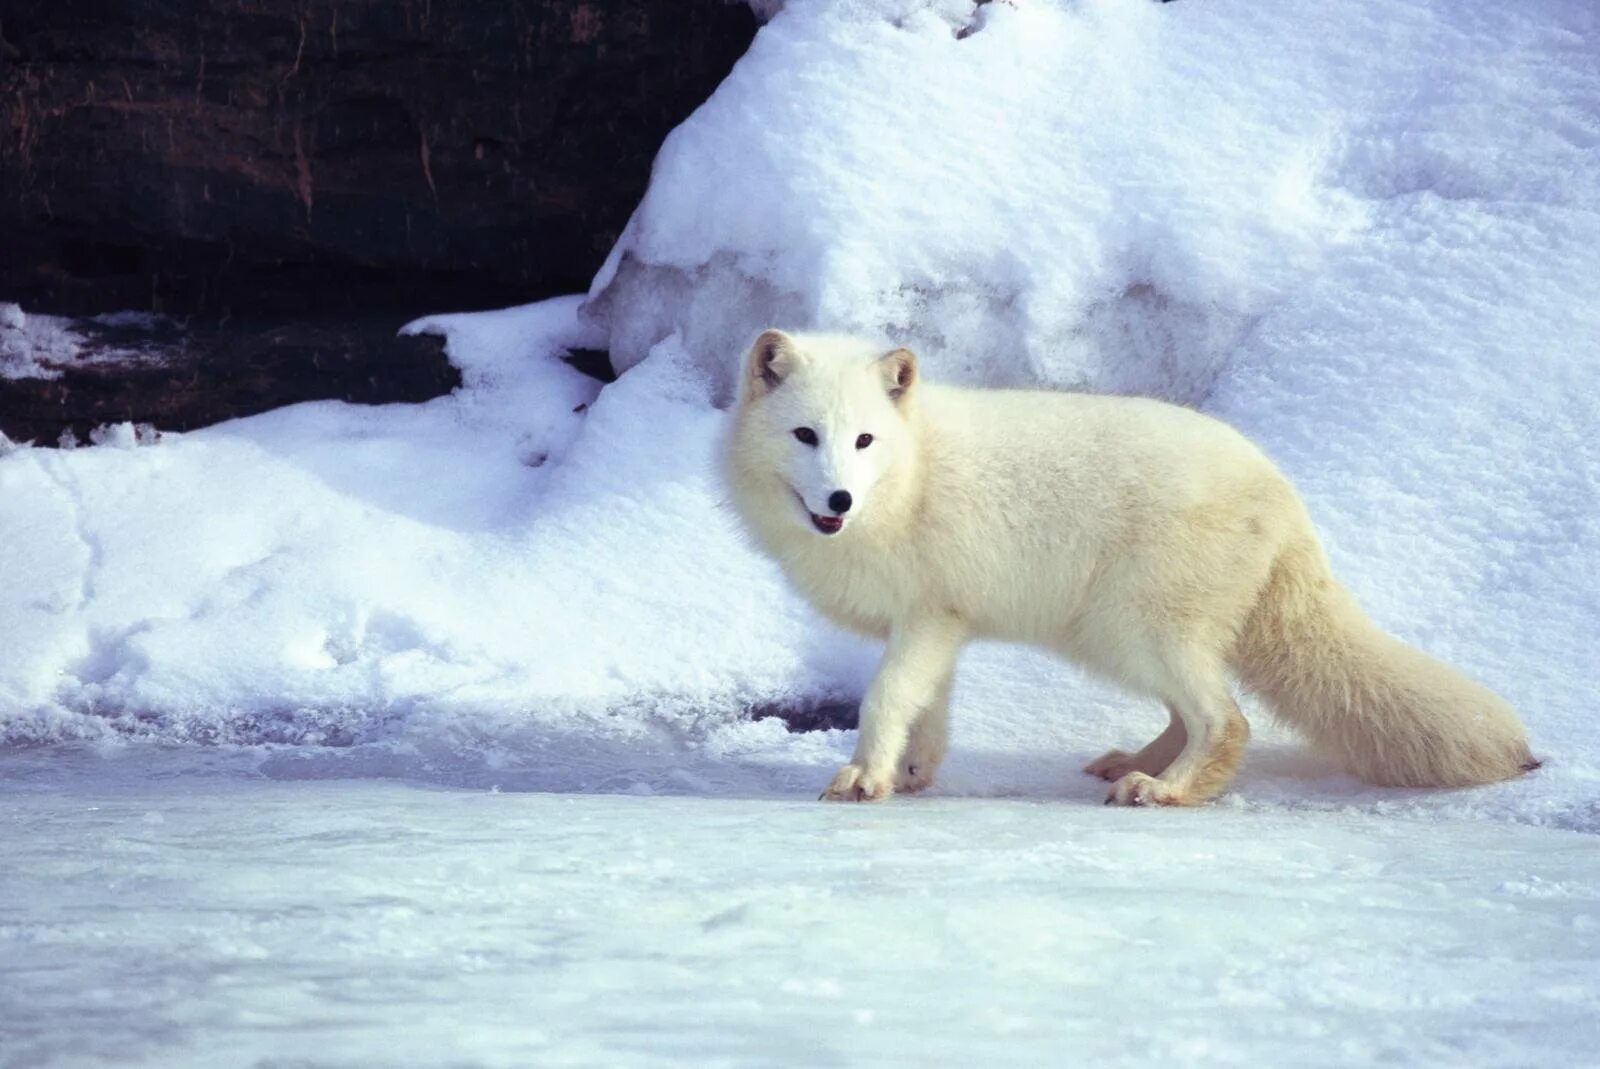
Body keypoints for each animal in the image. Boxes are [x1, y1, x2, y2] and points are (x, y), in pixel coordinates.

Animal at [723, 329, 1536, 806]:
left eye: (864, 440)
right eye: (805, 435)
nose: (838, 497)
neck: (911, 477)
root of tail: (1282, 490)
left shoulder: (925, 617)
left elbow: (885, 699)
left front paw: (865, 777)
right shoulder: (938, 623)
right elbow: (927, 710)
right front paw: (912, 774)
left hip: (1131, 627)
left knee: (1225, 719)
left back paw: (1166, 791)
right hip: (1121, 636)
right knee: (1187, 714)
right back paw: (1134, 765)